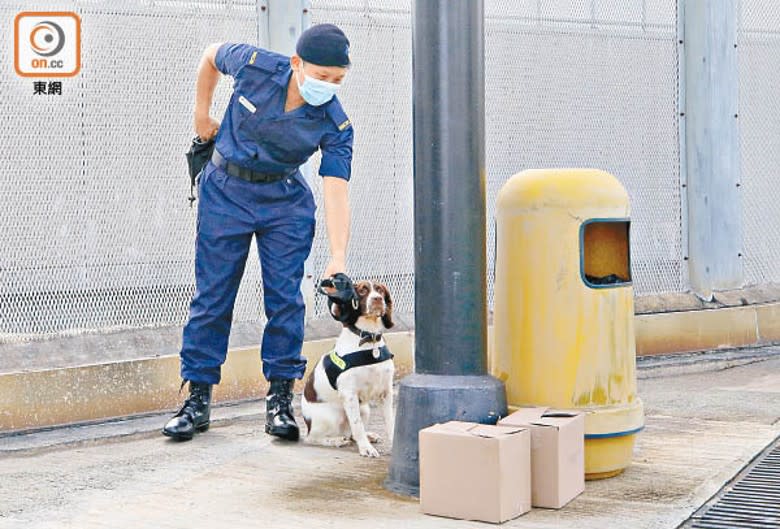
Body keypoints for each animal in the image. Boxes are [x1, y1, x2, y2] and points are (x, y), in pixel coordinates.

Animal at [300, 278, 396, 456]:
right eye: (363, 290)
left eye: (380, 290)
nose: (378, 299)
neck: (369, 339)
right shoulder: (349, 394)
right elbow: (357, 424)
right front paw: (366, 449)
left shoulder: (386, 392)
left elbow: (391, 422)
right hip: (333, 416)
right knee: (312, 438)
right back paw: (335, 440)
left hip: (365, 408)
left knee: (351, 433)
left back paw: (367, 435)